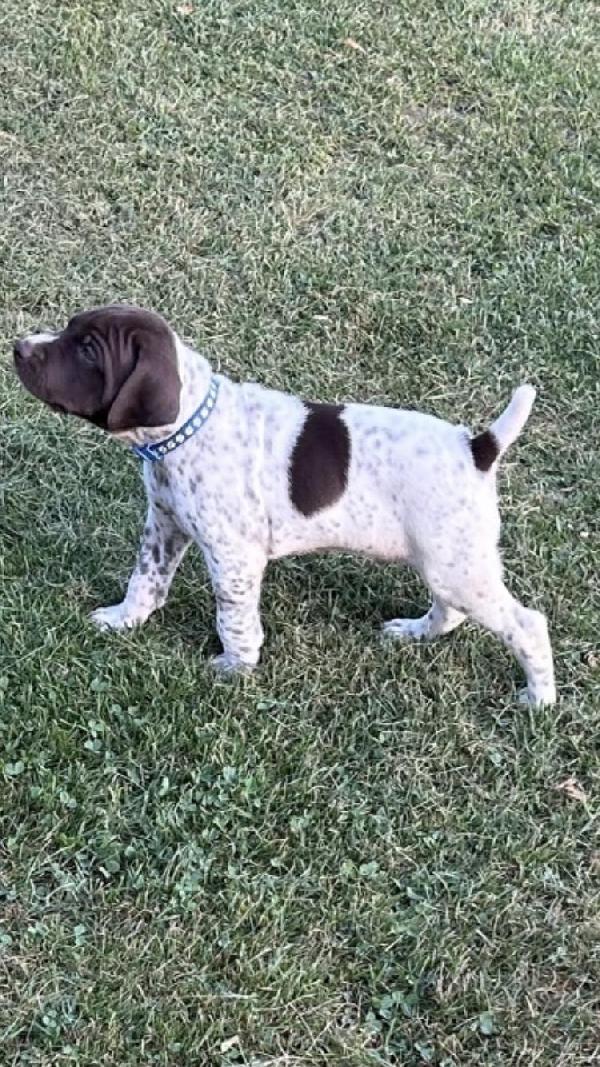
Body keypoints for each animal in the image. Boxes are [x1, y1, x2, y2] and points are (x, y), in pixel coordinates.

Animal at [12, 300, 555, 704]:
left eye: (87, 349)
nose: (18, 347)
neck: (190, 426)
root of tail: (477, 447)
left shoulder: (234, 557)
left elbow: (233, 619)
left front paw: (236, 667)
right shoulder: (164, 525)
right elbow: (145, 580)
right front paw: (124, 620)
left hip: (456, 563)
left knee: (526, 624)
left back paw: (539, 697)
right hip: (444, 558)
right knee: (451, 612)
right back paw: (414, 632)